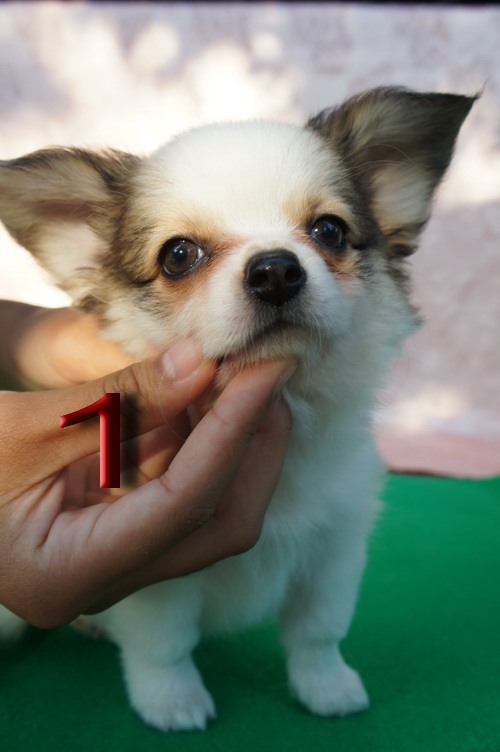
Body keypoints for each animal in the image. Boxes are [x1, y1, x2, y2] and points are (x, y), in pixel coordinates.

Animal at [0, 87, 474, 731]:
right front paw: (172, 701)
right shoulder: (156, 585)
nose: (275, 268)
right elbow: (164, 646)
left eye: (329, 231)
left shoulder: (334, 549)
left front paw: (326, 686)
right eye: (178, 255)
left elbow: (318, 632)